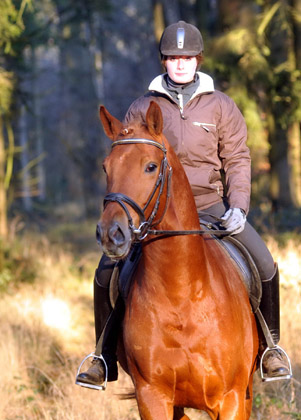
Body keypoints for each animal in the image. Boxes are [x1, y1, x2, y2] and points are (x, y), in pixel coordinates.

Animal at [97, 101, 256, 420]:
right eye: (106, 167)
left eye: (150, 166)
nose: (111, 234)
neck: (181, 292)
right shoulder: (153, 398)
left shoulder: (231, 400)